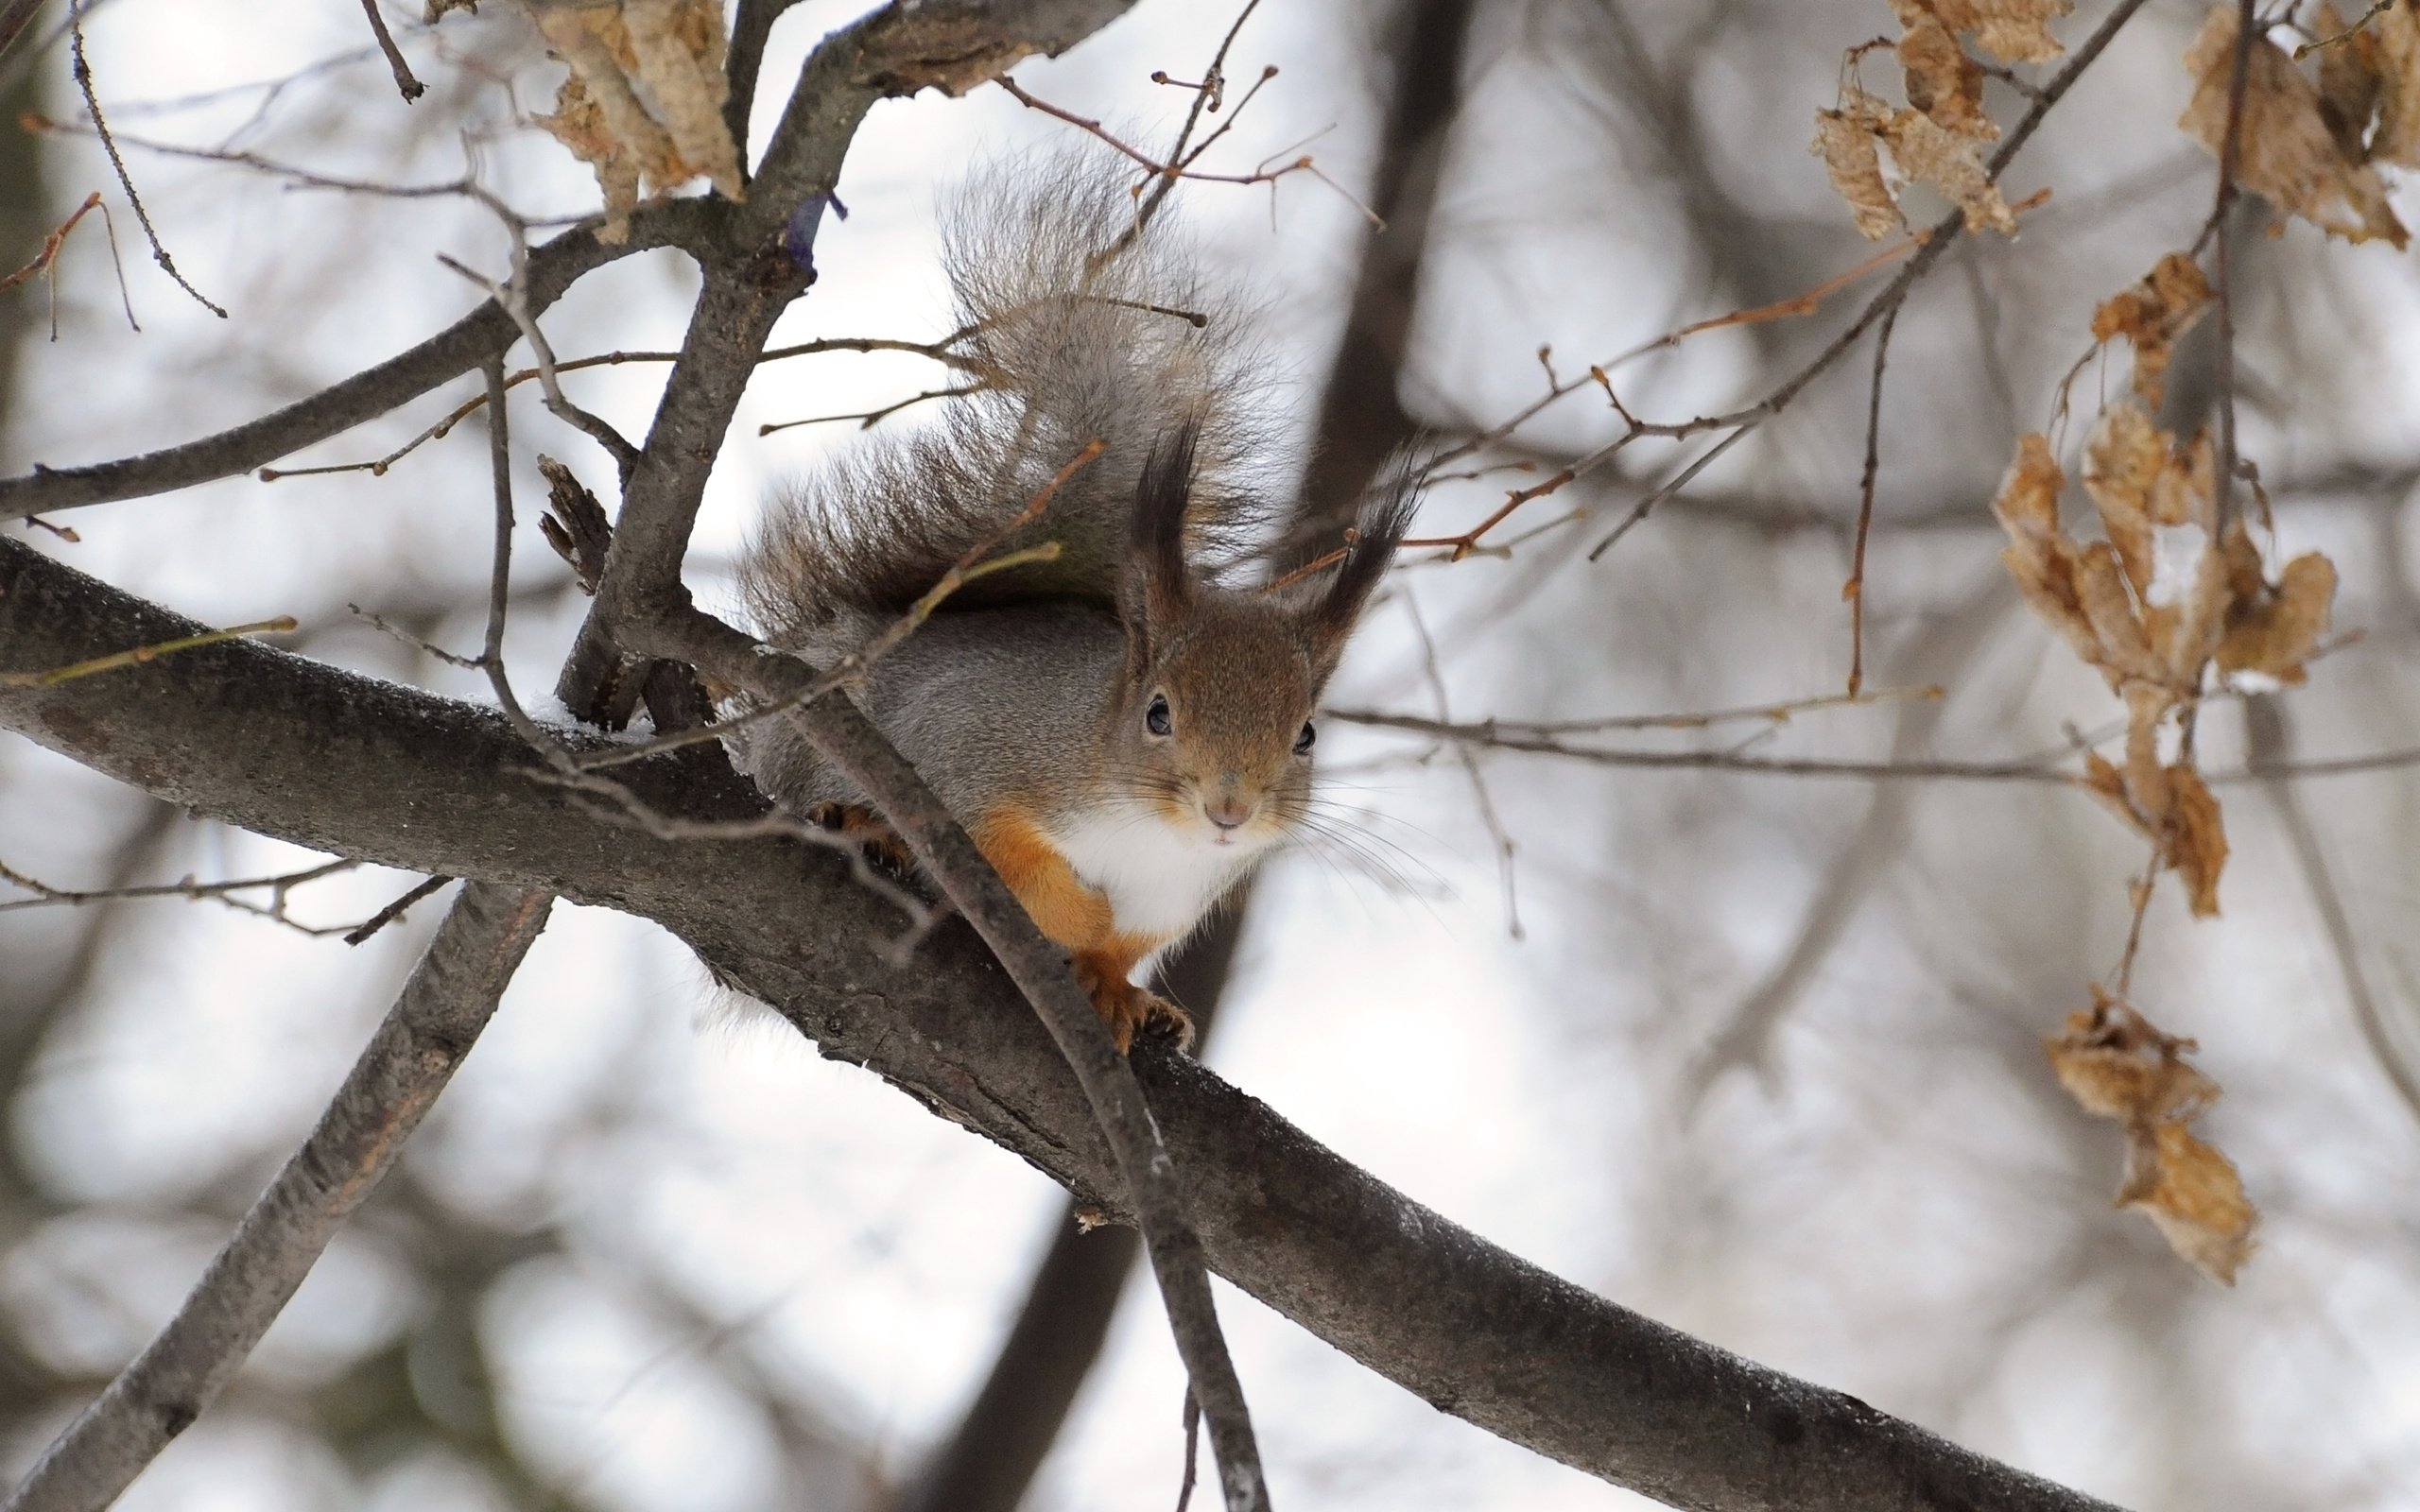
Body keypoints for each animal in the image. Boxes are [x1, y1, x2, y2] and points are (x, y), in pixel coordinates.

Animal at [731, 156, 1413, 1050]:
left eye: (1306, 735)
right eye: (1157, 713)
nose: (1229, 809)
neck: (1153, 835)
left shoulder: (1178, 897)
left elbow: (1128, 944)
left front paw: (1117, 983)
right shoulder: (974, 753)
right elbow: (1012, 864)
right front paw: (1079, 918)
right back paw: (864, 827)